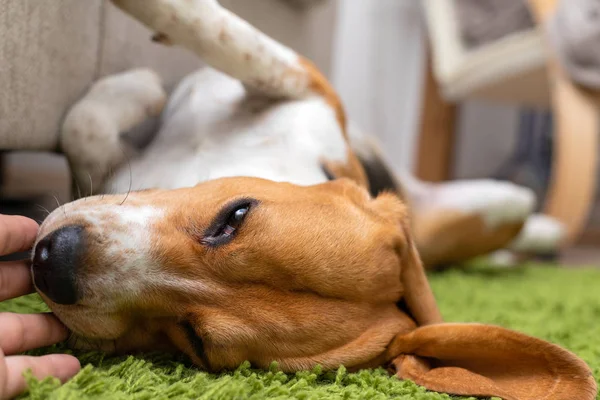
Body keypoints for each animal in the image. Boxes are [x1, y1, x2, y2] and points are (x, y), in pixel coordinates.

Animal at [31, 1, 596, 398]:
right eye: (234, 216)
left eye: (194, 340)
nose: (52, 263)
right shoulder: (306, 83)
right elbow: (223, 39)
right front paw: (138, 85)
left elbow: (83, 127)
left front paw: (134, 89)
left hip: (502, 203)